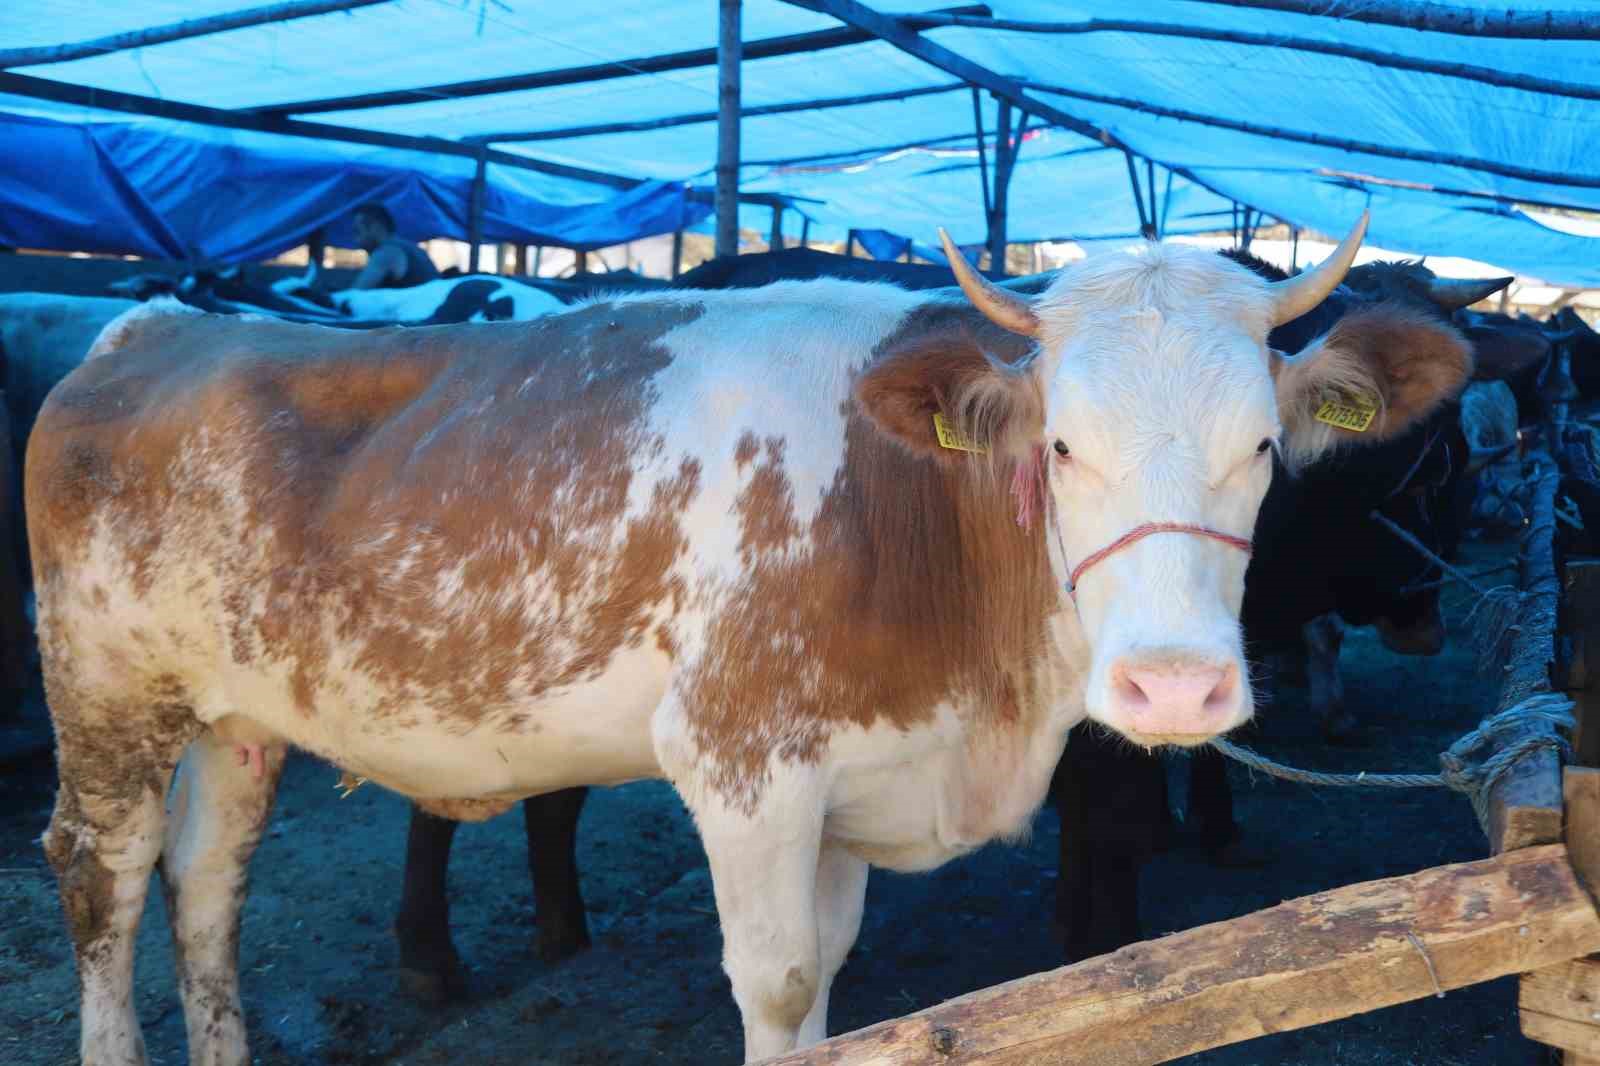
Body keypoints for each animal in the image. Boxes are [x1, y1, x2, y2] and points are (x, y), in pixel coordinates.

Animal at [31, 211, 1465, 1056]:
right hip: (105, 695)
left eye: (1267, 448)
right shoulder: (743, 760)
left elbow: (828, 976)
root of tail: (151, 327)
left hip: (235, 716)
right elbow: (775, 986)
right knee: (106, 879)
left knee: (207, 884)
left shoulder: (843, 792)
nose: (1172, 691)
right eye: (1061, 445)